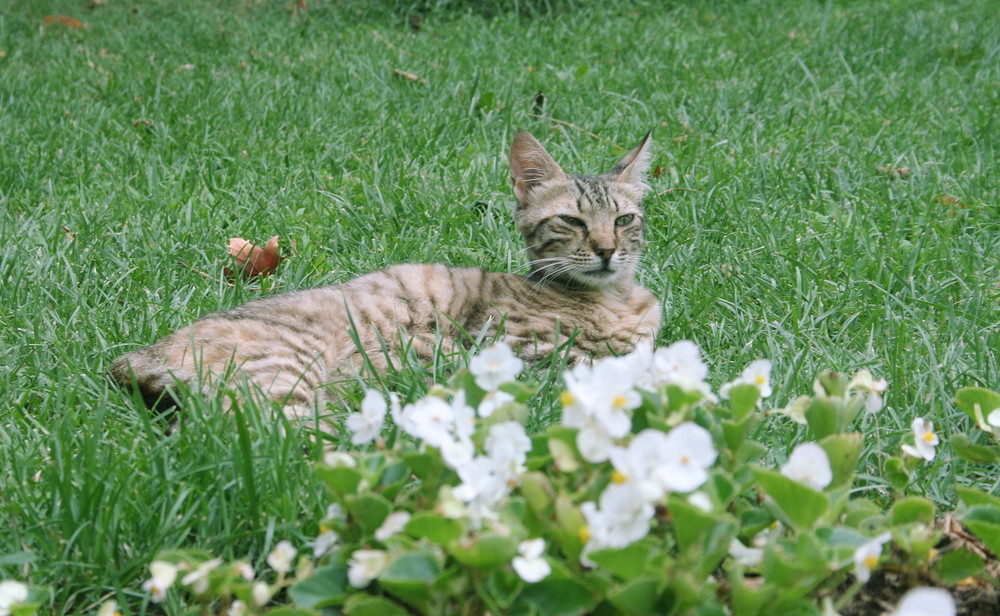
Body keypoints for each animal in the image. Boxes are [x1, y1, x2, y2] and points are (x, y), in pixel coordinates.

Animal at [111, 132, 664, 416]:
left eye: (623, 220)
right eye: (572, 221)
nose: (608, 250)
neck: (615, 298)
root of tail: (132, 357)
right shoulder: (522, 353)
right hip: (288, 374)